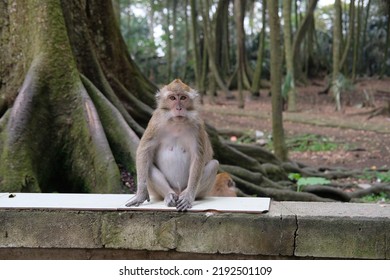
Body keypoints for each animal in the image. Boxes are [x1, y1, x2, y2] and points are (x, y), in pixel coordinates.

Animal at [125, 78, 219, 210]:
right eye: (172, 98)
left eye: (183, 98)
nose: (179, 108)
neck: (177, 123)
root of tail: (177, 192)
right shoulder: (155, 121)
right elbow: (144, 150)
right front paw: (141, 194)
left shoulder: (197, 125)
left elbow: (198, 156)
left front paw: (188, 196)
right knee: (148, 166)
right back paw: (169, 195)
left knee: (214, 165)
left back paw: (185, 195)